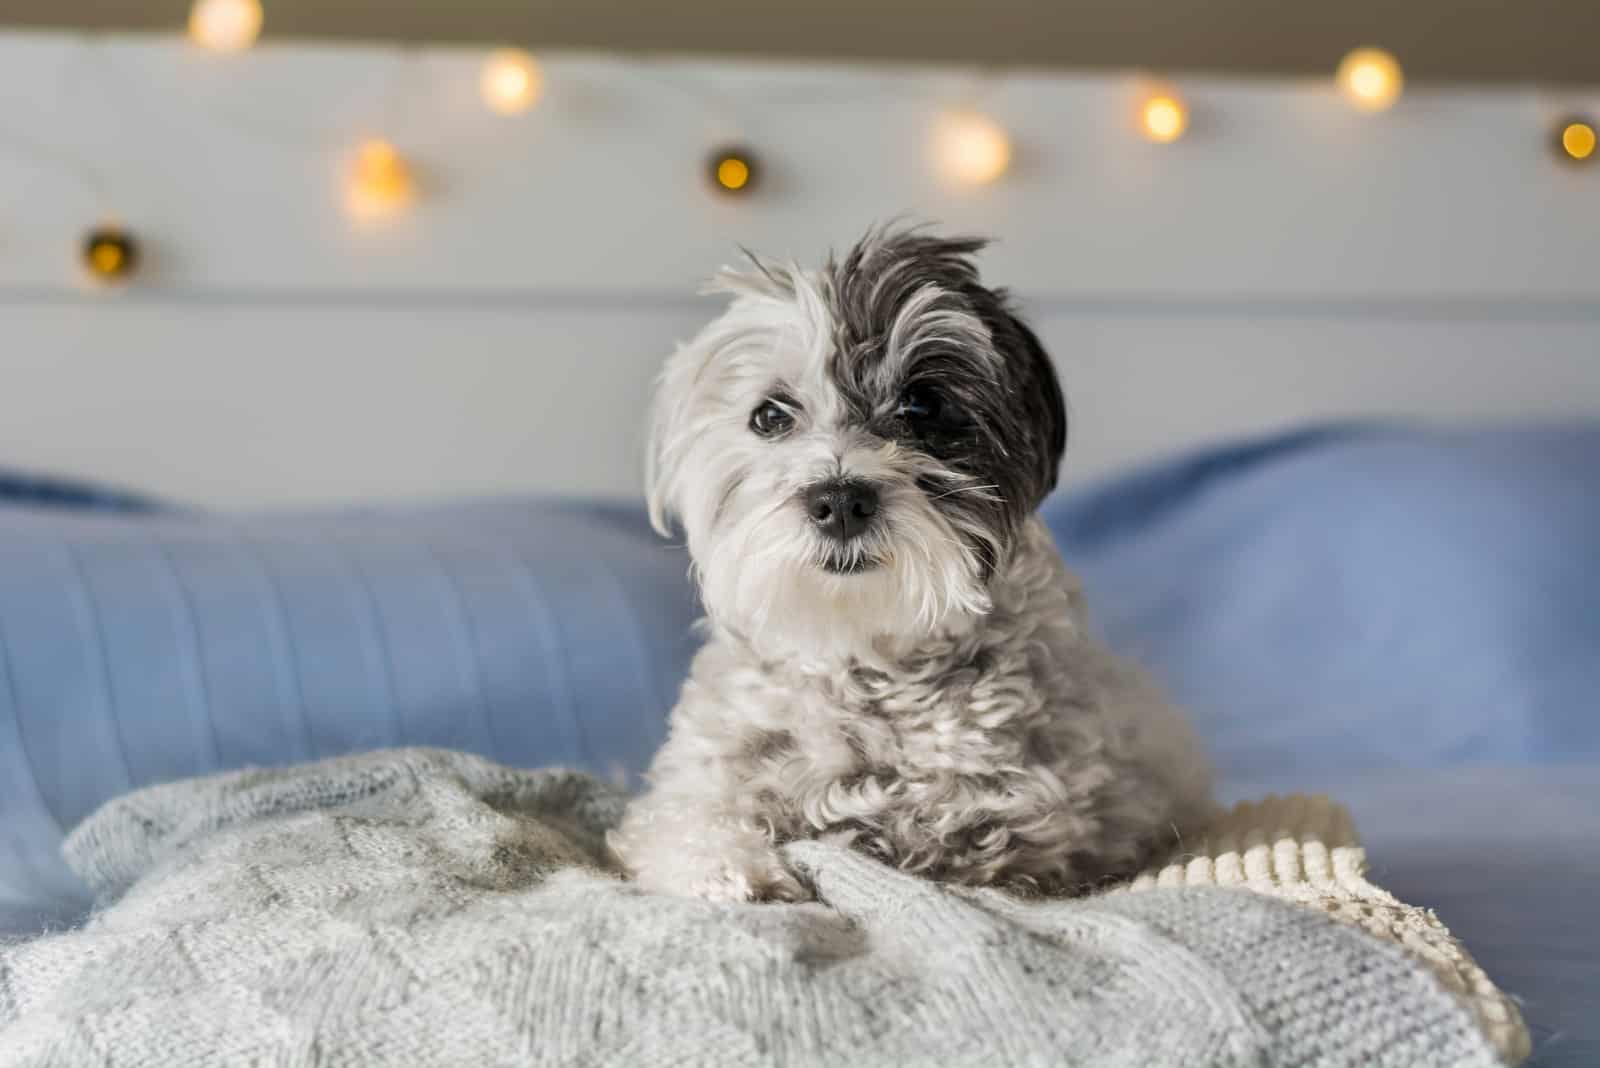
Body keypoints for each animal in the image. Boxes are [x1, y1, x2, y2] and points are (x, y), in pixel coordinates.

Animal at [604, 225, 1203, 901]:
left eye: (923, 404)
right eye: (770, 416)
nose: (840, 500)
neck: (867, 657)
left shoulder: (1026, 831)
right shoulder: (694, 783)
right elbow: (691, 822)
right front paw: (731, 869)